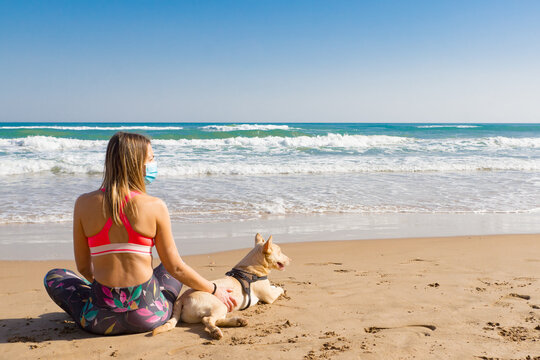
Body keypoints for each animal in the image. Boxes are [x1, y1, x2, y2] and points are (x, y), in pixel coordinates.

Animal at [152, 235, 292, 338]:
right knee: (207, 320)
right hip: (220, 306)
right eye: (280, 252)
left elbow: (274, 287)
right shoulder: (269, 297)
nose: (291, 260)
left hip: (222, 309)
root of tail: (181, 299)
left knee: (214, 320)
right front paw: (282, 289)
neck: (250, 269)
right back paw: (216, 331)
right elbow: (278, 289)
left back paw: (239, 321)